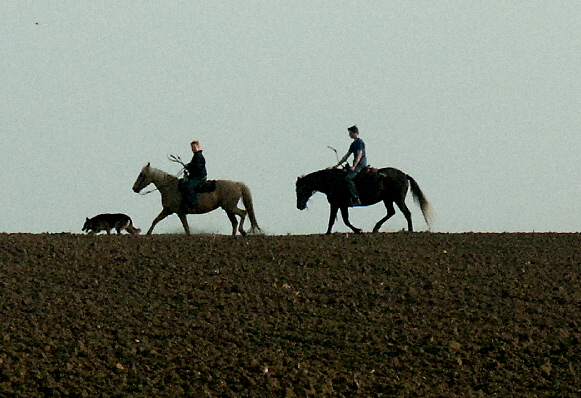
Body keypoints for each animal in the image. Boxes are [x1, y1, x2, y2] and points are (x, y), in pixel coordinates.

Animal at [131, 163, 260, 235]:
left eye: (142, 175)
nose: (134, 188)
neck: (170, 187)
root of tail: (237, 184)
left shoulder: (179, 212)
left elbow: (186, 227)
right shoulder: (167, 210)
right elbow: (155, 220)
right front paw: (148, 234)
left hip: (230, 207)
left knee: (243, 213)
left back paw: (242, 231)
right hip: (228, 209)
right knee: (235, 222)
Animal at [294, 167, 430, 235]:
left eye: (300, 189)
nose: (299, 206)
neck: (332, 180)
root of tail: (404, 175)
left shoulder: (338, 204)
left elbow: (340, 220)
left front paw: (357, 230)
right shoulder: (339, 205)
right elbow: (339, 220)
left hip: (398, 199)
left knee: (406, 213)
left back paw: (410, 231)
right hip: (387, 199)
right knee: (391, 212)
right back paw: (376, 228)